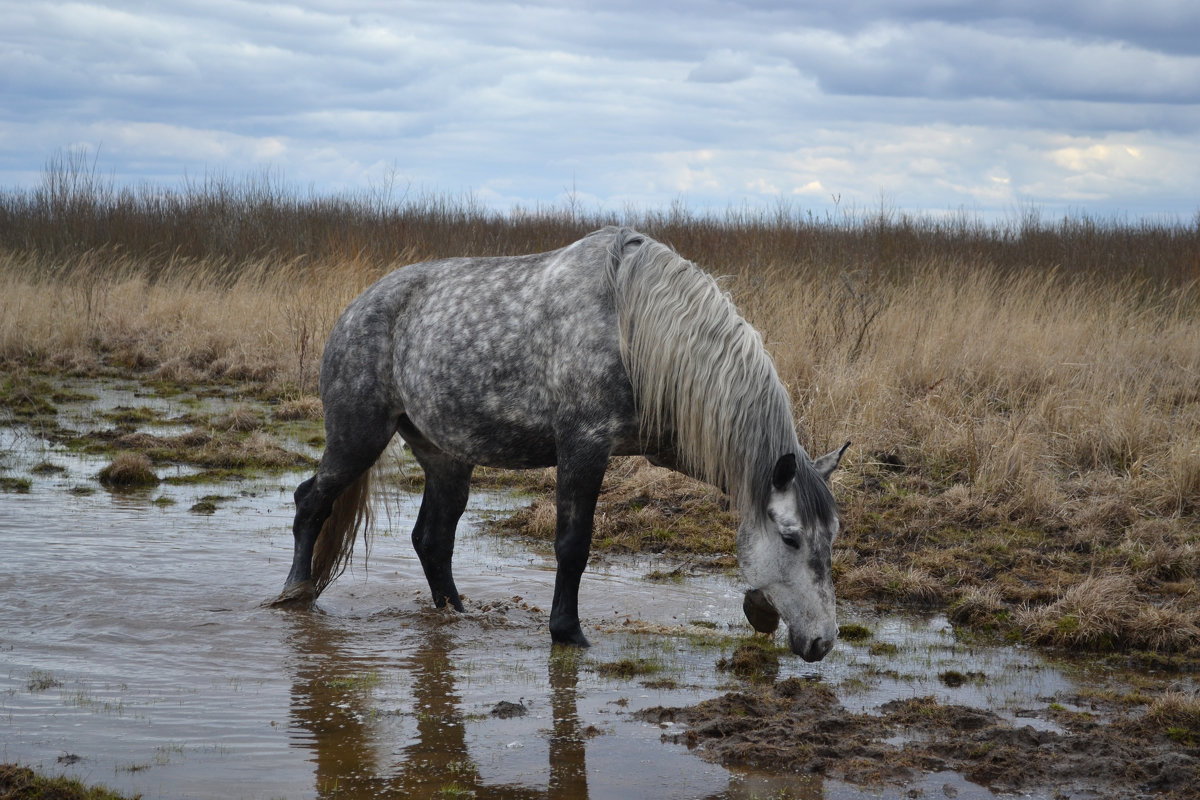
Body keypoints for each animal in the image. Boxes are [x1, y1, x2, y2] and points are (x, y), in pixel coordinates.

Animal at [276, 226, 849, 662]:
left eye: (832, 538)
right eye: (791, 538)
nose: (821, 643)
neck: (632, 328)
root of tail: (355, 309)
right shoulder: (583, 447)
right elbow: (573, 546)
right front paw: (567, 631)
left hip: (446, 459)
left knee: (431, 539)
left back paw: (455, 613)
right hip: (358, 438)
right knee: (311, 502)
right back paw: (295, 594)